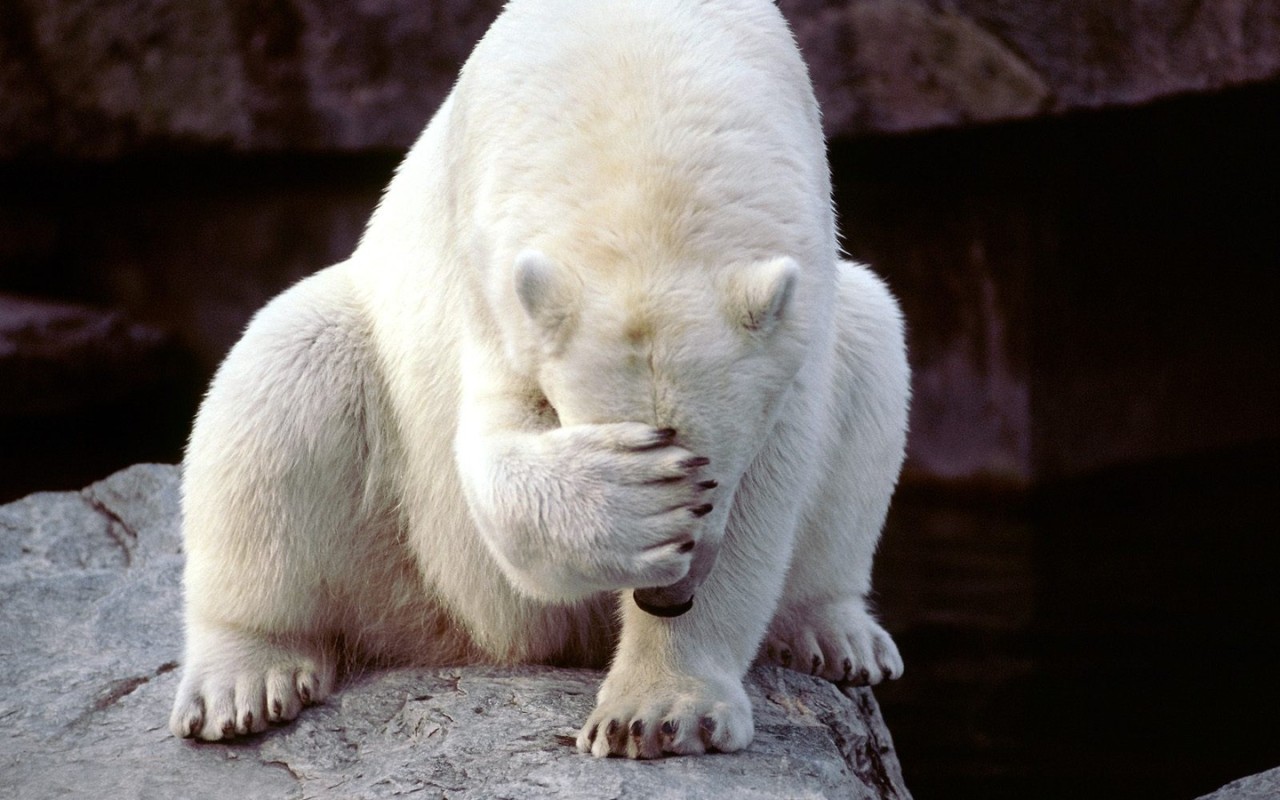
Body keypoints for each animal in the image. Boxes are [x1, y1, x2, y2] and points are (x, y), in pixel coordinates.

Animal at [168, 0, 909, 759]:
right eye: (677, 469)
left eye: (711, 475)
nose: (666, 597)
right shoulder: (492, 269)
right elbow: (491, 448)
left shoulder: (800, 296)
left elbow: (773, 483)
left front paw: (659, 712)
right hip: (398, 544)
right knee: (284, 373)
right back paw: (243, 680)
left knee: (873, 340)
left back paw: (834, 633)